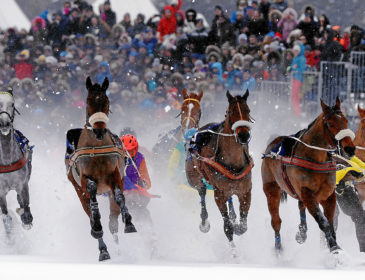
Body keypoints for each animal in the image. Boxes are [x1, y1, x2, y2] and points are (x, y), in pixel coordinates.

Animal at [65, 76, 135, 260]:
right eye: (89, 101)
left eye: (106, 101)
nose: (99, 131)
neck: (96, 148)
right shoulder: (82, 177)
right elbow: (91, 194)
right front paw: (97, 227)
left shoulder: (115, 173)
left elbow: (119, 196)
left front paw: (129, 221)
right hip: (76, 187)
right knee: (90, 211)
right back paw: (103, 248)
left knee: (112, 218)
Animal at [185, 90, 253, 252]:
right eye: (231, 112)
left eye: (248, 111)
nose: (243, 135)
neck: (233, 163)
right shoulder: (219, 194)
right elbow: (227, 227)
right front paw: (234, 251)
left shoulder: (246, 191)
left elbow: (243, 225)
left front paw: (237, 224)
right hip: (194, 175)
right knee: (202, 191)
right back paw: (204, 222)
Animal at [260, 97, 354, 258]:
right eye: (331, 123)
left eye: (346, 121)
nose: (350, 148)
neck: (315, 158)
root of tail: (271, 146)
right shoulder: (307, 192)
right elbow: (323, 222)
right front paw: (334, 248)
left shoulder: (328, 195)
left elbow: (330, 222)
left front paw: (335, 247)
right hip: (271, 189)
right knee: (276, 221)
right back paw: (278, 249)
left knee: (300, 206)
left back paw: (302, 233)